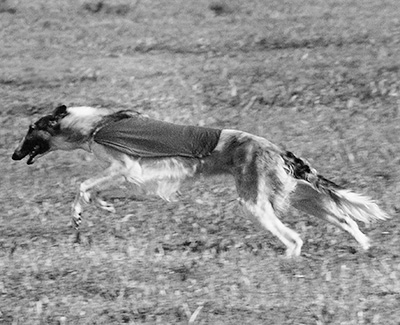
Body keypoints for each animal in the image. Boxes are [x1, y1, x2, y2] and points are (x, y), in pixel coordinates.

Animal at [11, 104, 388, 256]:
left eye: (31, 130)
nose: (13, 155)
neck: (96, 125)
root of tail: (276, 148)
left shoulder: (126, 167)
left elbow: (83, 186)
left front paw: (79, 214)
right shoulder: (125, 173)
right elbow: (95, 190)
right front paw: (102, 206)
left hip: (255, 202)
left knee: (294, 238)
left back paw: (288, 259)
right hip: (300, 196)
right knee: (346, 220)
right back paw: (364, 247)